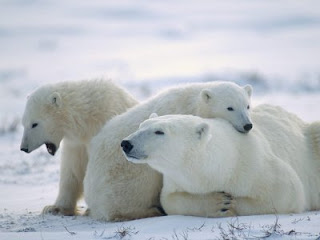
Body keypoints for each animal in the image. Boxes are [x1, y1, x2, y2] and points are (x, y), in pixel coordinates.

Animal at [19, 79, 138, 216]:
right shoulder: (76, 144)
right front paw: (54, 208)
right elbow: (72, 170)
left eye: (34, 124)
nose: (23, 148)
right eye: (23, 123)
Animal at [84, 81, 252, 221]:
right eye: (230, 107)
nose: (247, 125)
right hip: (122, 176)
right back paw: (150, 211)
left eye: (247, 106)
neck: (193, 102)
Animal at [121, 106, 320, 217]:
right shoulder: (176, 180)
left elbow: (287, 192)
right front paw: (218, 203)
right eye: (141, 126)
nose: (126, 143)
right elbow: (170, 200)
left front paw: (231, 204)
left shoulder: (255, 167)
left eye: (159, 131)